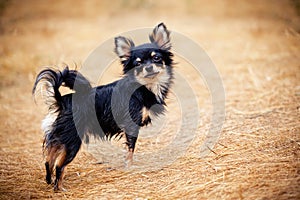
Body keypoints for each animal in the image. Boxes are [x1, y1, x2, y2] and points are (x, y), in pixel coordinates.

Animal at [32, 23, 173, 191]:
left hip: (60, 136)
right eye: (138, 64)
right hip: (73, 141)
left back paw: (49, 180)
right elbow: (130, 149)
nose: (149, 68)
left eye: (156, 58)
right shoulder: (131, 126)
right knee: (60, 165)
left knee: (49, 159)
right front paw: (129, 166)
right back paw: (59, 188)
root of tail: (62, 100)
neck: (144, 87)